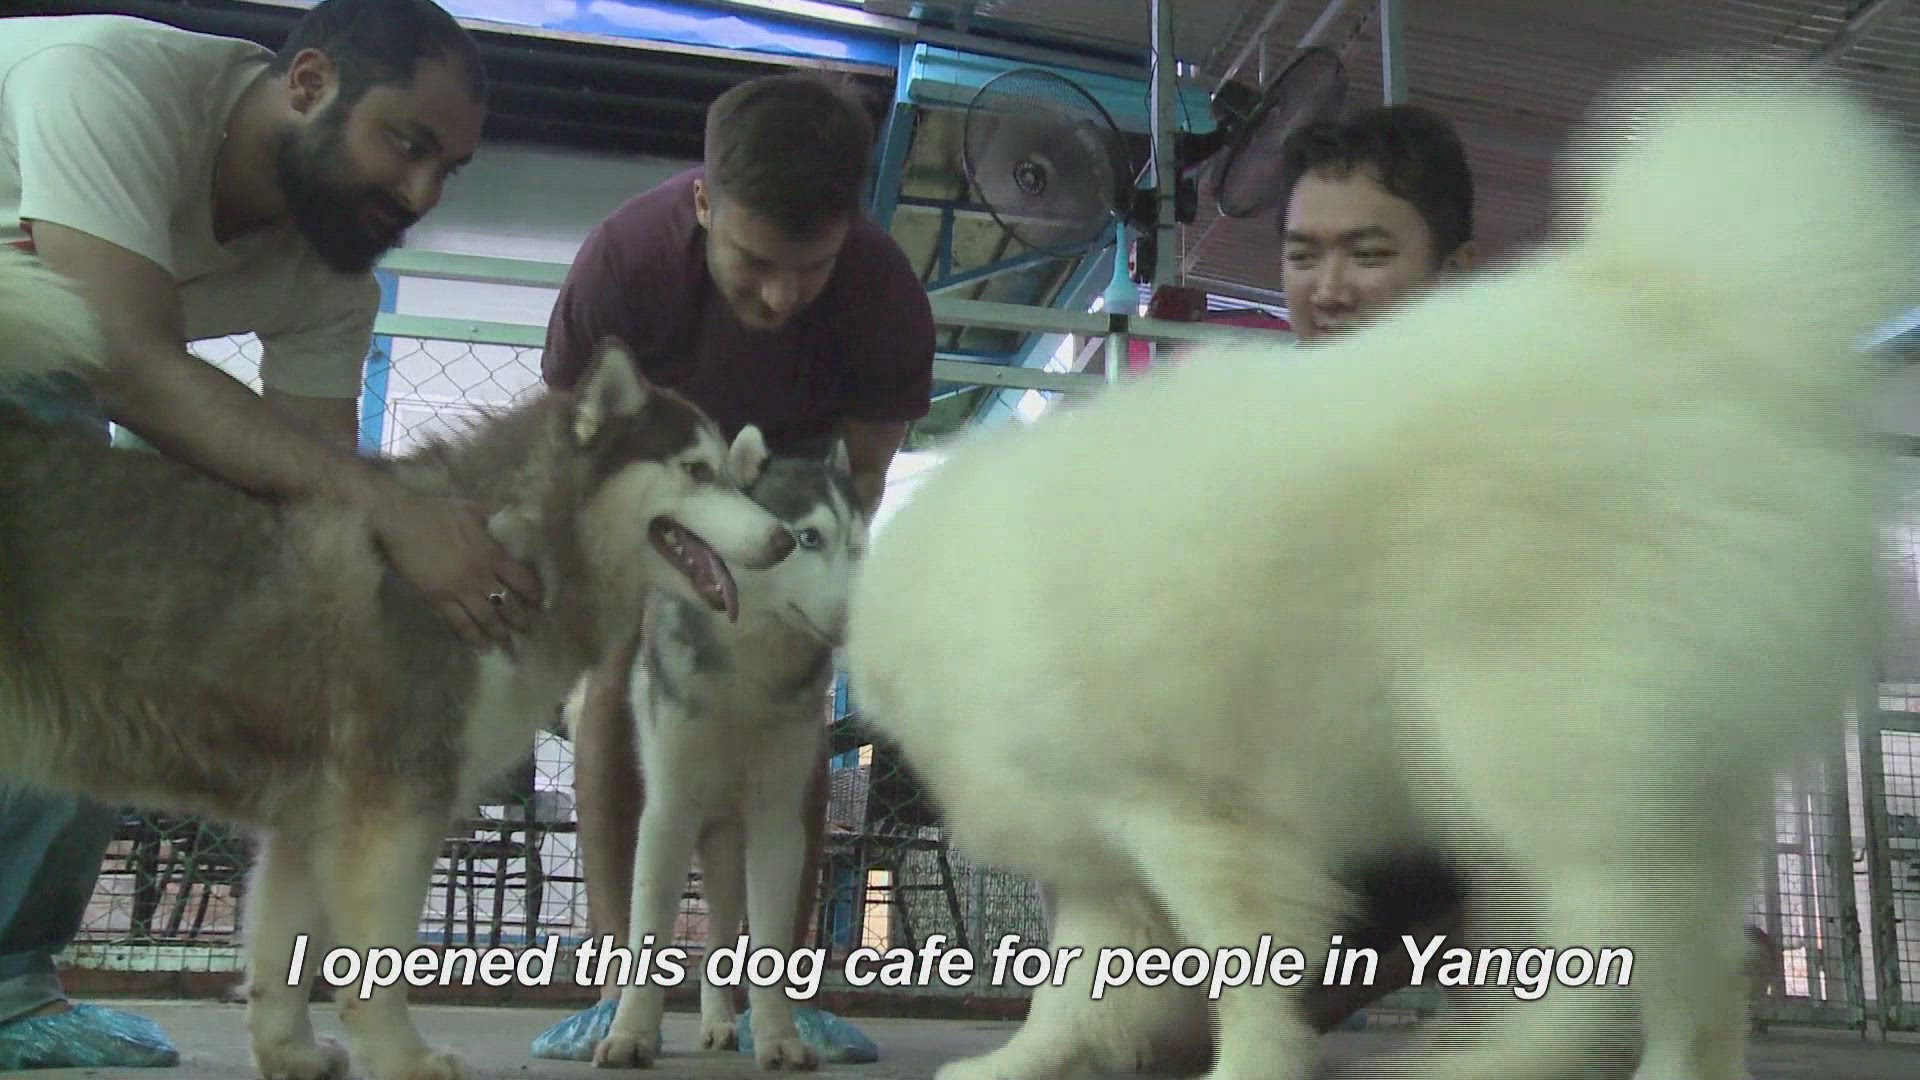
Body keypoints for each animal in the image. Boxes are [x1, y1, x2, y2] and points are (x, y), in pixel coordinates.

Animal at [569, 443, 869, 1071]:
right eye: (806, 539)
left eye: (860, 546)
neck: (747, 677)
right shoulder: (667, 814)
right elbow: (649, 932)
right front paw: (632, 1033)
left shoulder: (779, 822)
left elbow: (771, 943)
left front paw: (779, 1036)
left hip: (733, 847)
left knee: (720, 941)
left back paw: (722, 1023)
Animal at [845, 64, 1919, 1080]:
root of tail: (1701, 329)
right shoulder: (1105, 871)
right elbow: (1071, 999)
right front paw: (1012, 1064)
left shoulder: (1194, 823)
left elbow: (1242, 970)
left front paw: (1251, 1067)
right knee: (1683, 957)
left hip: (1526, 740)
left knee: (1621, 934)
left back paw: (1517, 1059)